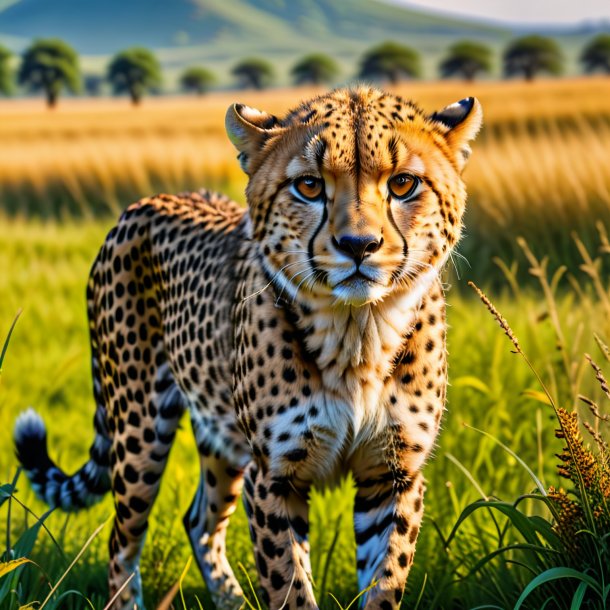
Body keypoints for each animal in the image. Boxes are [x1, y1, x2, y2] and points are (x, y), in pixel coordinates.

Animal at [13, 86, 480, 608]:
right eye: (309, 186)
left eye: (402, 184)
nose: (359, 245)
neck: (357, 334)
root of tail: (149, 201)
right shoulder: (274, 476)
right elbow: (289, 586)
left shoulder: (392, 476)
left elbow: (385, 585)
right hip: (139, 431)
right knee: (122, 539)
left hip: (219, 432)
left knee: (199, 520)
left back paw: (231, 599)